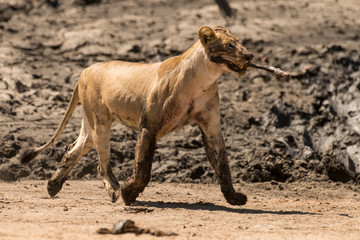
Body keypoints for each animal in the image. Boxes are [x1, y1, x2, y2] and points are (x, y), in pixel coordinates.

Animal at [19, 26, 253, 206]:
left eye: (239, 42)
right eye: (229, 45)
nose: (249, 56)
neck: (204, 79)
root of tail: (84, 70)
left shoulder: (211, 126)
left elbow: (222, 163)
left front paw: (234, 198)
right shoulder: (149, 125)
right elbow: (143, 166)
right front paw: (128, 193)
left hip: (90, 122)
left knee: (72, 150)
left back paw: (53, 186)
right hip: (100, 121)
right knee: (101, 165)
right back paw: (114, 190)